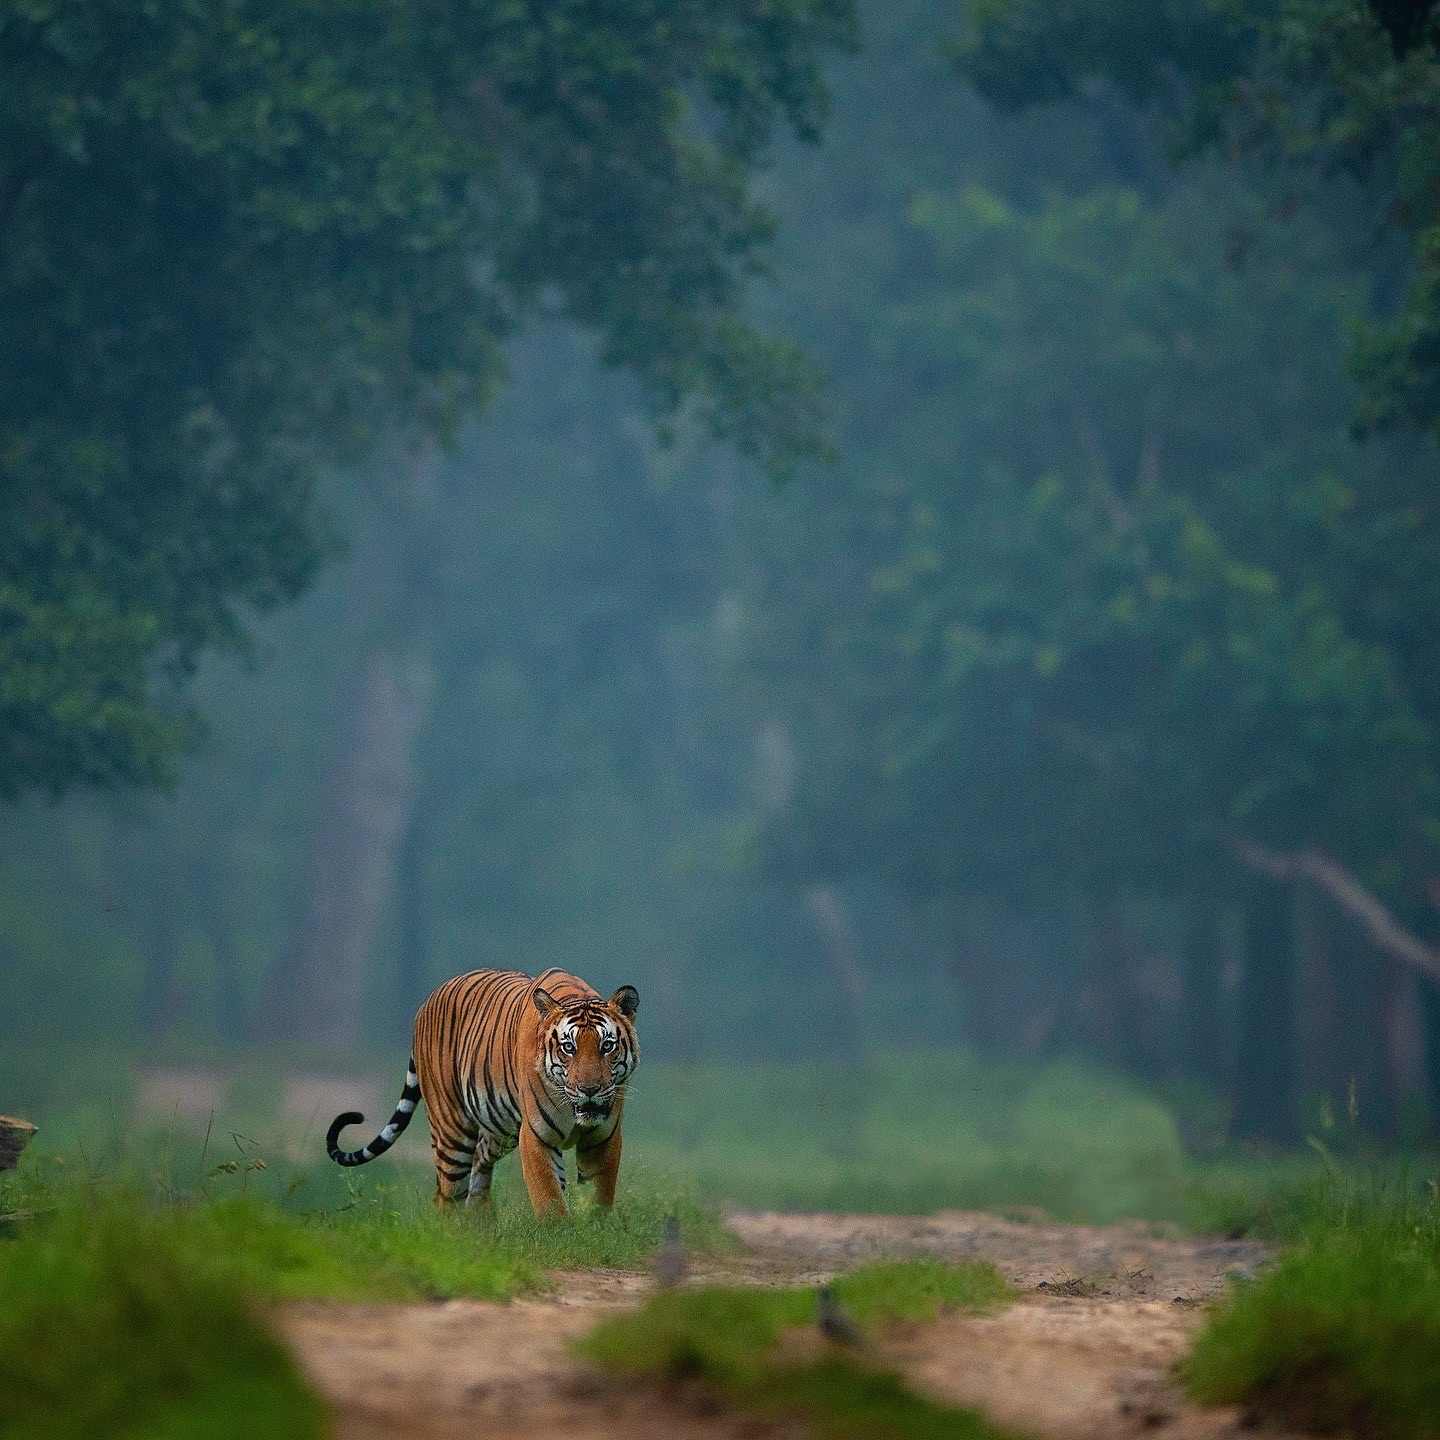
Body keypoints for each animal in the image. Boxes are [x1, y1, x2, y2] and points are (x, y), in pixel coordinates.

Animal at [325, 968, 639, 1218]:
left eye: (607, 1046)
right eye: (569, 1048)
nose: (590, 1090)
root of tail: (425, 1002)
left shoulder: (604, 1137)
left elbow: (599, 1195)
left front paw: (595, 1230)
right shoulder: (536, 1136)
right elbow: (549, 1198)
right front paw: (561, 1235)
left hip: (499, 1132)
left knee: (478, 1166)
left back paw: (482, 1226)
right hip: (451, 1131)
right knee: (447, 1195)